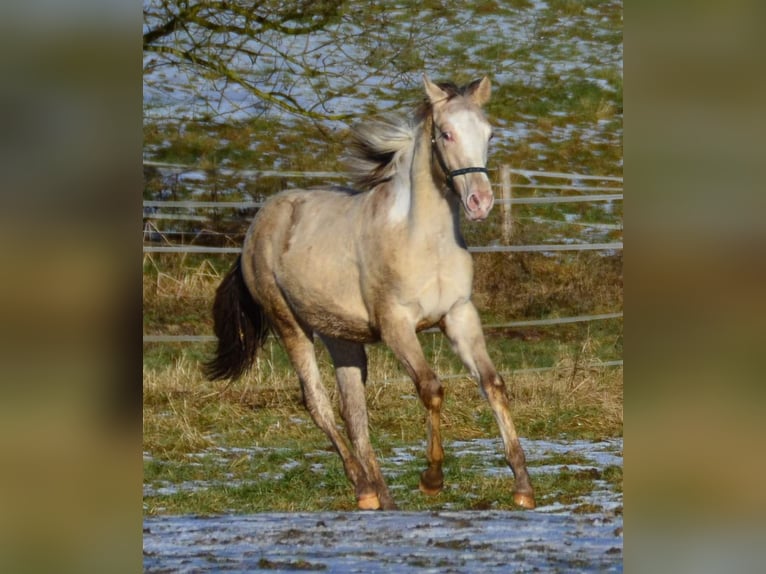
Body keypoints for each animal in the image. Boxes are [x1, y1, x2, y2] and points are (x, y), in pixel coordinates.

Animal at [207, 74, 536, 510]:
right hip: (289, 325)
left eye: (489, 133)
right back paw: (364, 488)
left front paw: (523, 488)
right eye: (446, 133)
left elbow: (493, 384)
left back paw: (380, 497)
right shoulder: (395, 324)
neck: (423, 239)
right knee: (318, 403)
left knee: (354, 411)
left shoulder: (459, 315)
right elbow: (431, 388)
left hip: (340, 336)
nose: (480, 202)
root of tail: (260, 222)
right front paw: (431, 479)